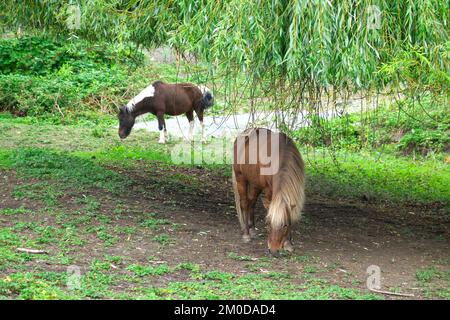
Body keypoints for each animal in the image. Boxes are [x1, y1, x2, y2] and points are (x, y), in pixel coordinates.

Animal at [232, 127, 306, 255]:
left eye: (285, 225)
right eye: (268, 224)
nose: (273, 250)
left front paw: (288, 243)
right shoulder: (269, 189)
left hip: (255, 184)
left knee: (252, 202)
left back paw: (252, 229)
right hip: (241, 178)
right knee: (245, 203)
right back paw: (246, 234)